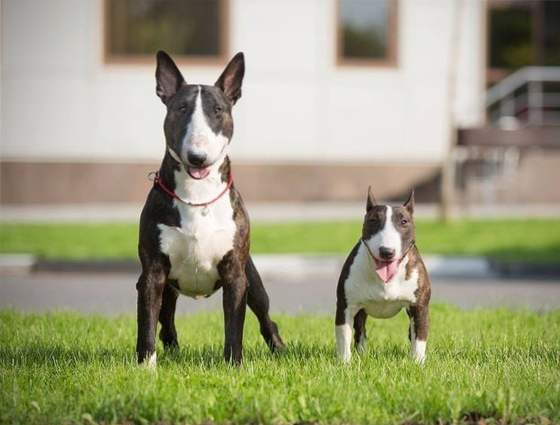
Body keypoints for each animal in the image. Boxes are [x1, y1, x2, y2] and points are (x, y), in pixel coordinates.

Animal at [136, 51, 284, 366]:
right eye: (180, 108)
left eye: (218, 110)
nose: (198, 157)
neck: (197, 196)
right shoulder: (152, 273)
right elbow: (146, 325)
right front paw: (146, 369)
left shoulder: (235, 276)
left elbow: (234, 326)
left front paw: (234, 365)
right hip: (168, 289)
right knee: (165, 322)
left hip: (253, 281)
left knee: (266, 317)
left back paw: (280, 349)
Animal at [334, 187, 430, 362]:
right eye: (373, 220)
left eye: (404, 221)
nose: (386, 251)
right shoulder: (345, 306)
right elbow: (344, 337)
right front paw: (345, 363)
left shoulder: (420, 307)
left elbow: (419, 338)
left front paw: (417, 362)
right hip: (360, 311)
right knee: (360, 331)